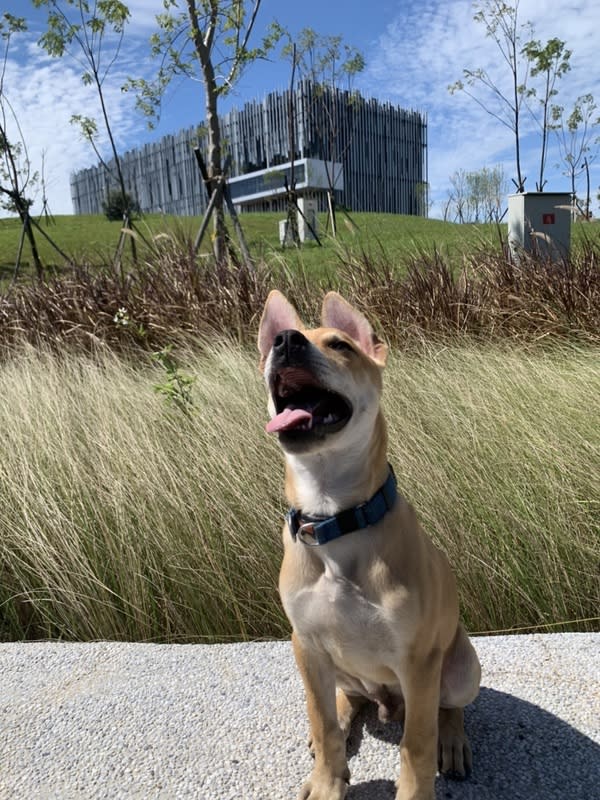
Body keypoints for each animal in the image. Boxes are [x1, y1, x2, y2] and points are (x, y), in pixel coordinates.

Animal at [258, 290, 482, 800]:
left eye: (341, 345)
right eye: (272, 346)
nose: (286, 341)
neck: (334, 518)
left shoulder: (418, 660)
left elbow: (417, 744)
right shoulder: (306, 644)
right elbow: (321, 719)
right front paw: (327, 780)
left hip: (462, 667)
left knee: (447, 708)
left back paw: (453, 741)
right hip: (329, 664)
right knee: (344, 699)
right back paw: (342, 718)